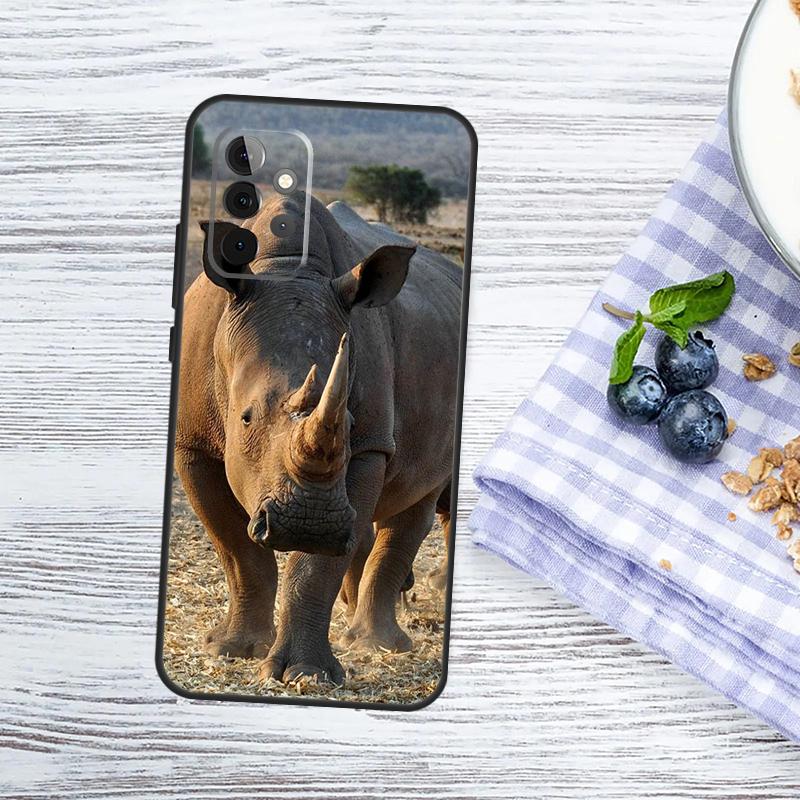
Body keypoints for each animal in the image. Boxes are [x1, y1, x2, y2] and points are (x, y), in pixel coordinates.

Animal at [174, 193, 462, 685]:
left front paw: (304, 673)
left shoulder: (368, 445)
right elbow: (237, 550)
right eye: (245, 419)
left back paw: (377, 644)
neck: (287, 268)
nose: (309, 523)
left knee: (414, 504)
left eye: (348, 422)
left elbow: (316, 566)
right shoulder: (192, 444)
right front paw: (232, 650)